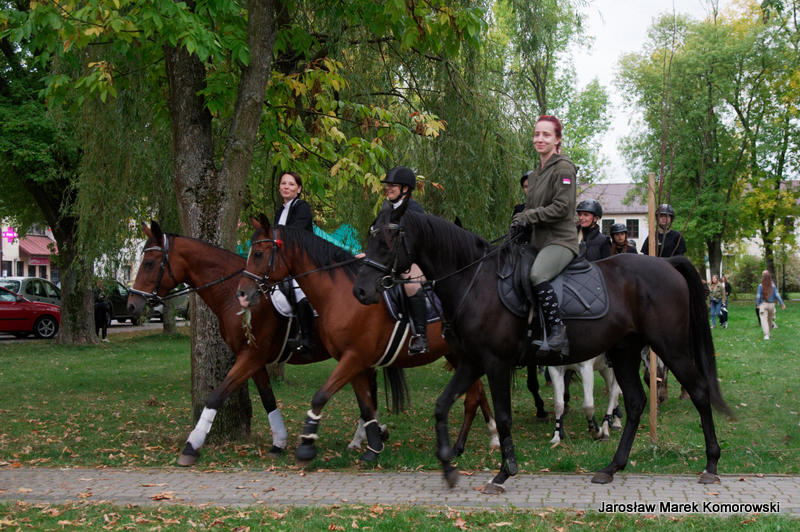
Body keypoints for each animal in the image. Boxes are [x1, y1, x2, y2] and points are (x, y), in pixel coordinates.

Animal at [125, 221, 389, 466]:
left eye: (149, 263)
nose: (132, 305)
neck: (232, 294)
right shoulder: (256, 360)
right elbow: (268, 399)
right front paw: (279, 442)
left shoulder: (251, 356)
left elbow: (216, 396)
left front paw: (192, 445)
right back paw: (368, 435)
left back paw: (363, 438)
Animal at [235, 214, 500, 463]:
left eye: (258, 253)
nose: (242, 293)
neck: (340, 294)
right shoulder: (355, 363)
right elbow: (366, 406)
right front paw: (373, 448)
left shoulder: (354, 358)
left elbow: (321, 396)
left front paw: (307, 445)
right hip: (457, 355)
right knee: (475, 395)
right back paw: (463, 445)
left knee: (474, 397)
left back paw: (471, 443)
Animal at [352, 200, 732, 493]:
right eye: (371, 234)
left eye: (388, 238)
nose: (360, 290)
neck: (474, 281)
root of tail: (666, 264)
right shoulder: (472, 362)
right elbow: (442, 406)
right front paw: (448, 468)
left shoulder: (496, 363)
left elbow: (504, 416)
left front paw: (504, 473)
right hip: (624, 352)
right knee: (636, 402)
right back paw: (612, 467)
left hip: (672, 347)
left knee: (698, 393)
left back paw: (711, 464)